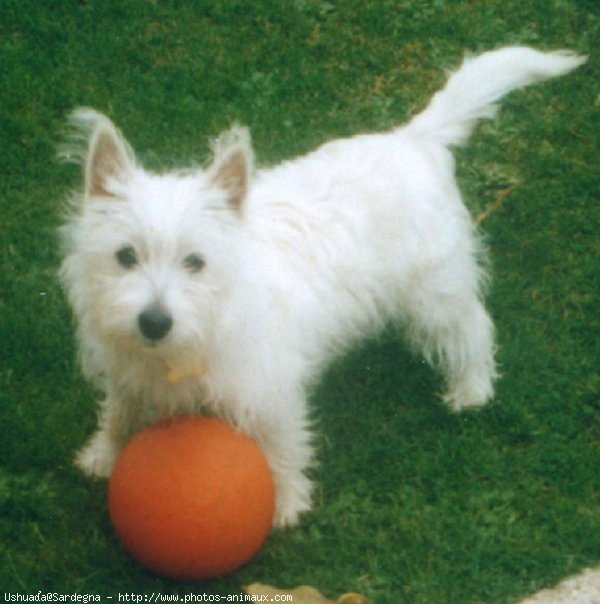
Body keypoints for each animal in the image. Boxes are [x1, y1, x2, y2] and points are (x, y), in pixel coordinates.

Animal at [61, 47, 584, 528]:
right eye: (125, 256)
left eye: (195, 262)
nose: (154, 322)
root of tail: (414, 139)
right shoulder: (129, 380)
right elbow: (119, 414)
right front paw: (103, 456)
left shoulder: (269, 391)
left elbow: (281, 443)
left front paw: (286, 502)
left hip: (436, 290)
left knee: (472, 329)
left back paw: (471, 389)